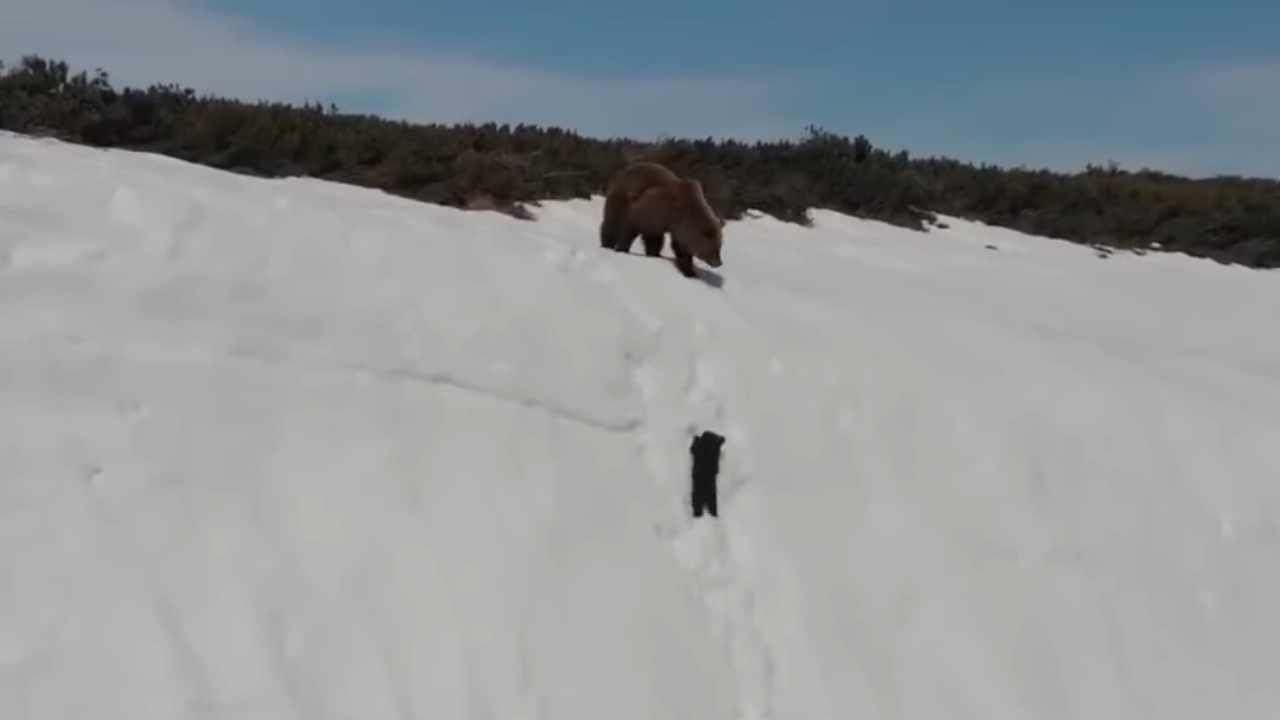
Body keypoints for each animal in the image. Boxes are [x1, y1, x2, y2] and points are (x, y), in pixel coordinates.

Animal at [596, 161, 727, 275]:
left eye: (720, 246)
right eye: (714, 248)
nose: (719, 263)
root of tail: (622, 171)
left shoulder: (675, 226)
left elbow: (679, 248)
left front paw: (689, 271)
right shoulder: (653, 210)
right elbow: (635, 230)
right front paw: (624, 249)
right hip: (621, 196)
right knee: (613, 223)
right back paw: (607, 244)